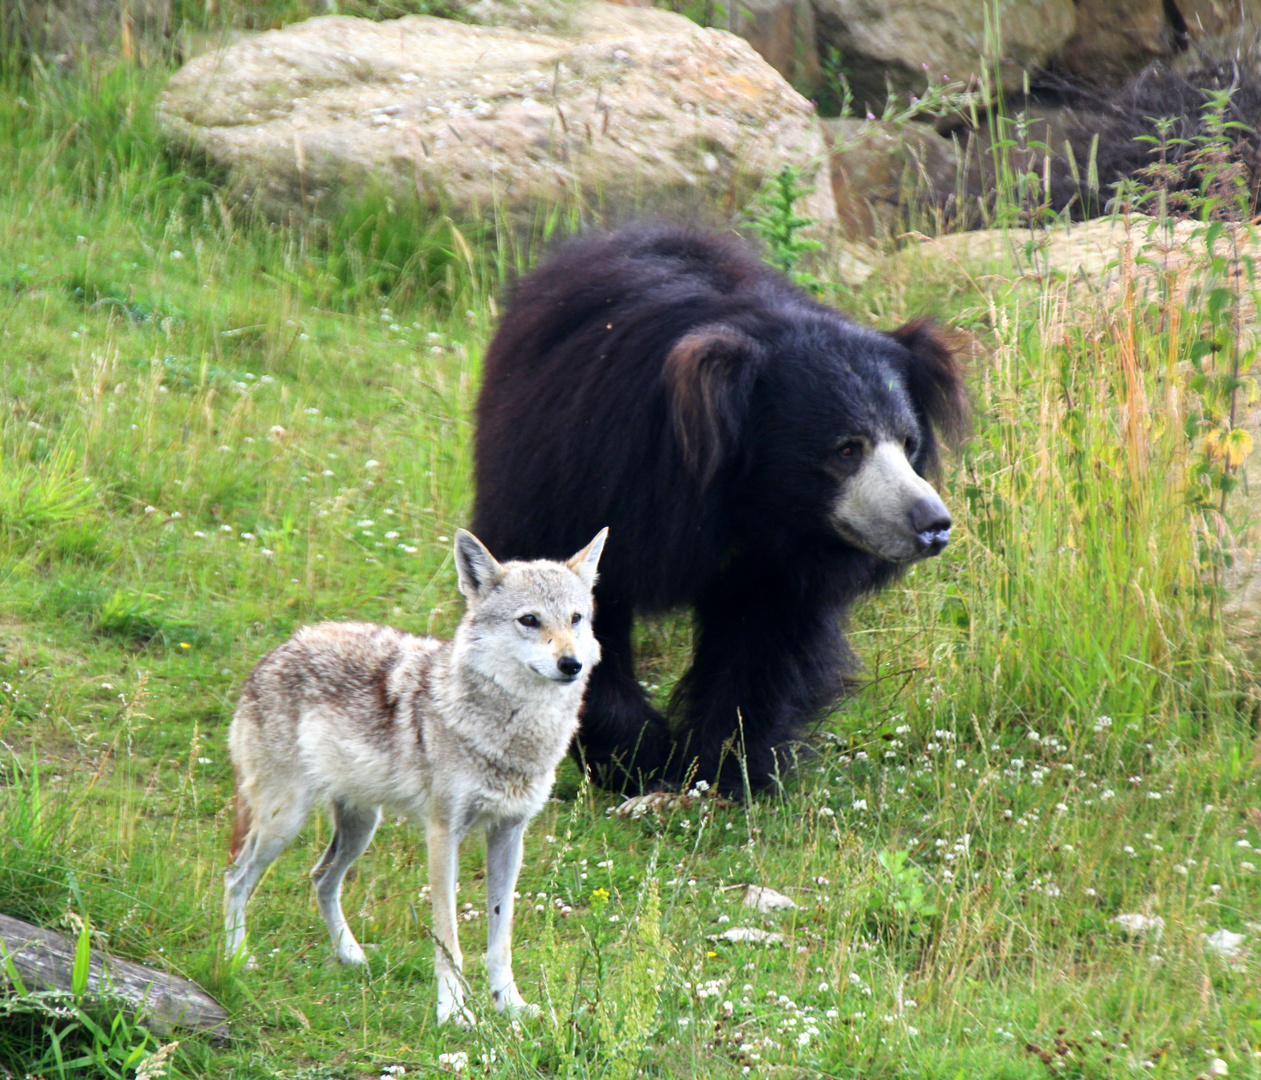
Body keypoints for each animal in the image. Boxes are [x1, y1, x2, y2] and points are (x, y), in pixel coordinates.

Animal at [474, 222, 963, 792]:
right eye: (846, 450)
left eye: (909, 444)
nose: (932, 524)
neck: (752, 504)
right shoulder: (585, 473)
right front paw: (639, 761)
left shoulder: (781, 565)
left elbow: (762, 644)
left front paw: (721, 771)